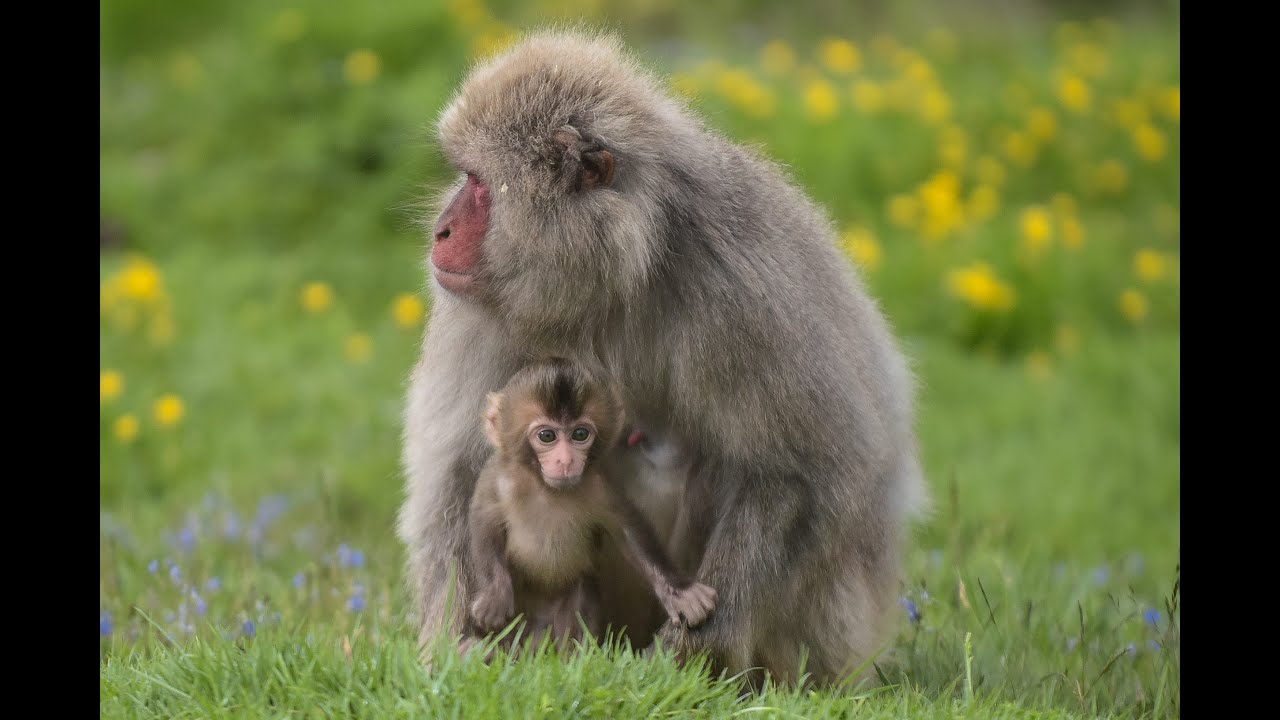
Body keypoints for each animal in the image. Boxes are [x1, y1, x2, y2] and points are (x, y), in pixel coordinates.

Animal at [461, 357, 717, 656]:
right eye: (546, 436)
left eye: (580, 434)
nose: (565, 460)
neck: (547, 489)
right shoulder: (497, 480)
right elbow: (484, 523)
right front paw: (494, 596)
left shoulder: (600, 488)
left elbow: (630, 532)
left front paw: (678, 592)